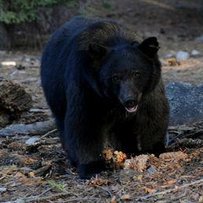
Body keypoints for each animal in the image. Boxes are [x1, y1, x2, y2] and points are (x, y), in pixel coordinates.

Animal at [40, 17, 169, 179]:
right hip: (56, 93)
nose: (129, 101)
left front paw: (154, 150)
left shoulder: (149, 91)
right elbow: (84, 123)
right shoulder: (86, 86)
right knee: (63, 124)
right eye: (115, 77)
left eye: (137, 74)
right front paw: (91, 167)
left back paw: (129, 149)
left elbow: (153, 115)